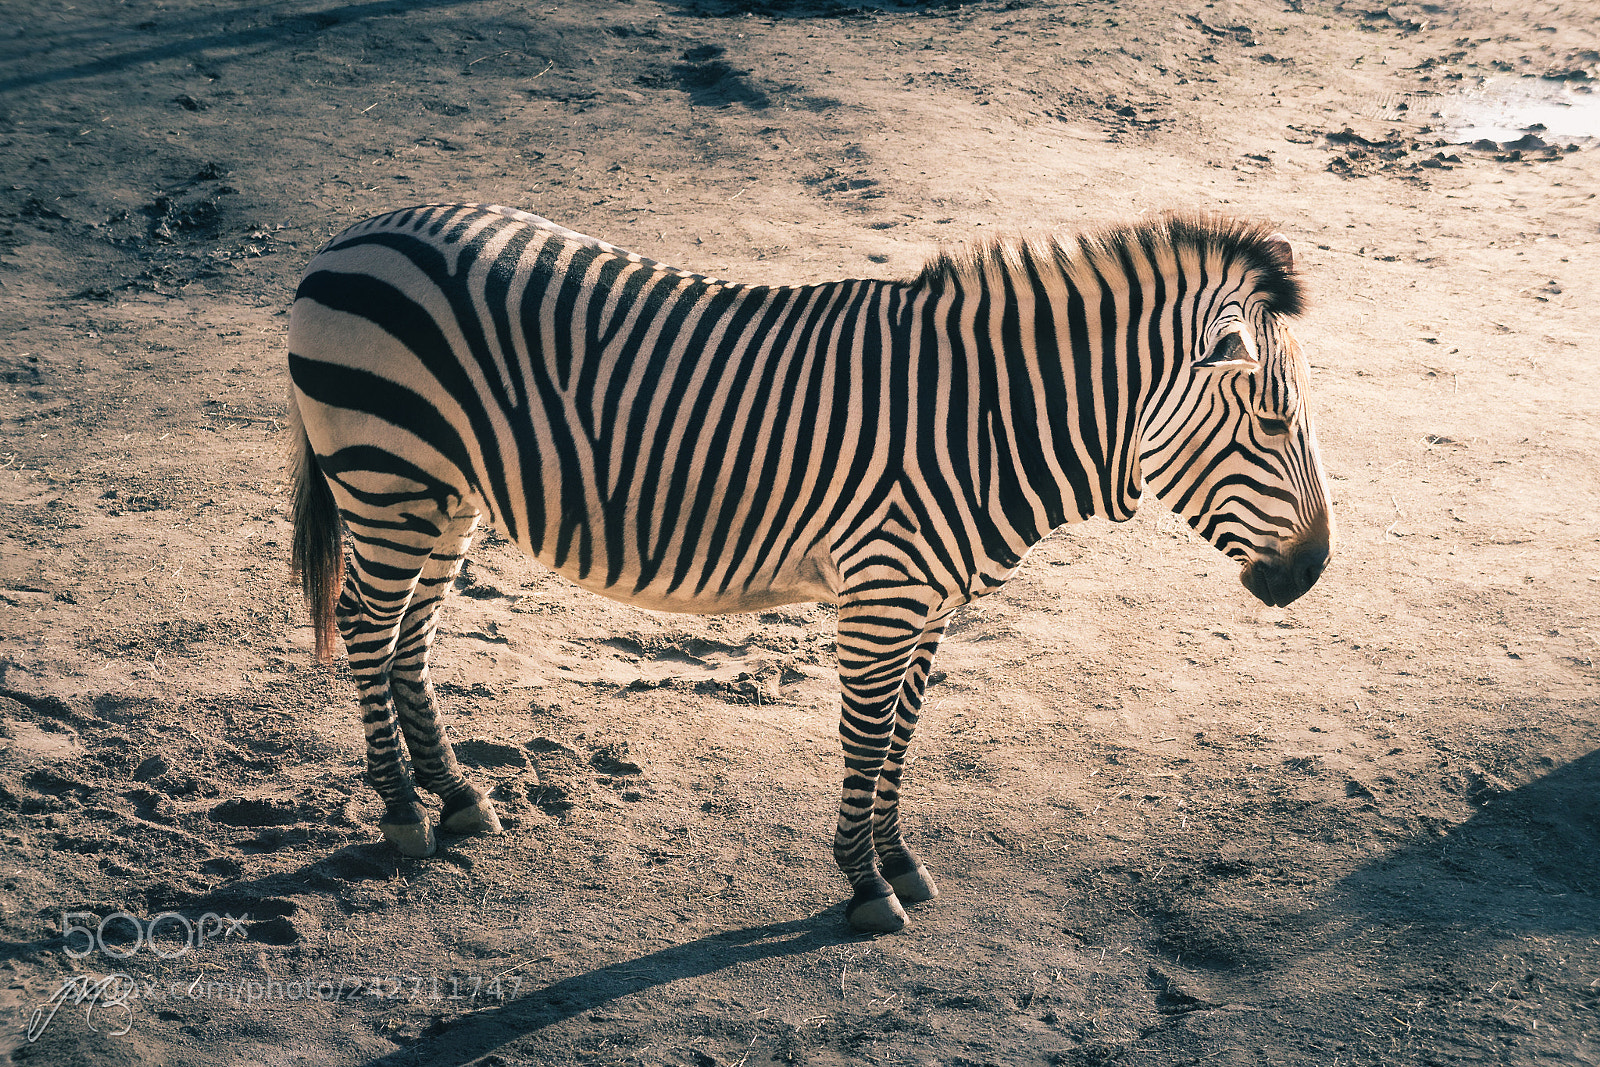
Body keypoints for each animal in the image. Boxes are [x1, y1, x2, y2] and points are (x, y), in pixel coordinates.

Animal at [287, 203, 1332, 933]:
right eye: (1274, 422)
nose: (1315, 573)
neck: (985, 421)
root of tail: (355, 236)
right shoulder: (883, 593)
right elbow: (866, 739)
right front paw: (866, 887)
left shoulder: (927, 603)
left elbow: (903, 736)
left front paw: (899, 859)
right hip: (388, 476)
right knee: (372, 629)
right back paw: (401, 811)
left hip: (444, 492)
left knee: (413, 636)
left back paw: (458, 796)